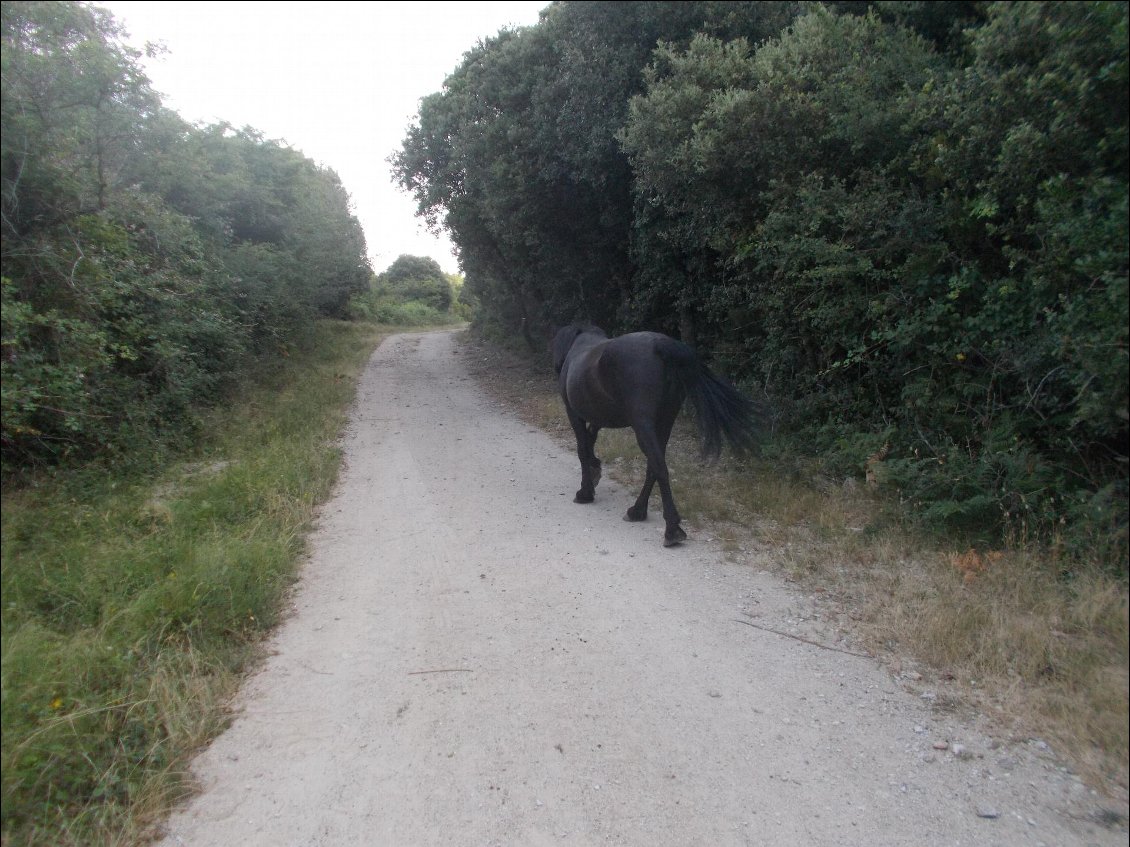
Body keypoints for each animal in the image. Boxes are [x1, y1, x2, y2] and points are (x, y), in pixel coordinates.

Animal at [549, 325, 759, 551]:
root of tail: (661, 344)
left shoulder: (574, 414)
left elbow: (582, 448)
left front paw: (585, 492)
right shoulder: (599, 417)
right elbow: (590, 439)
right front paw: (595, 470)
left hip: (643, 426)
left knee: (658, 466)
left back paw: (671, 530)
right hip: (664, 423)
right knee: (653, 466)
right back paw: (637, 511)